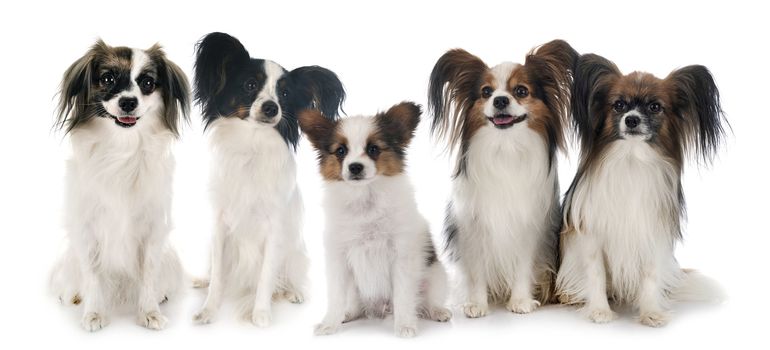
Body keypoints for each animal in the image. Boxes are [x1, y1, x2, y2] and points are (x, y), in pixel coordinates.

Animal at [49, 39, 190, 330]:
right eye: (107, 79)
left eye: (147, 83)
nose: (128, 101)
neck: (122, 148)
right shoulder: (87, 229)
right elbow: (92, 274)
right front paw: (94, 313)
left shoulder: (152, 229)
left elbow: (148, 273)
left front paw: (149, 312)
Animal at [192, 31, 344, 326]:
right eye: (250, 85)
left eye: (284, 94)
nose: (272, 108)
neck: (252, 145)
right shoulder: (220, 226)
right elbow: (218, 276)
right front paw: (208, 310)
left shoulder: (274, 229)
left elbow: (265, 277)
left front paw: (260, 314)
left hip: (296, 252)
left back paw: (292, 292)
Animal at [298, 102, 450, 338]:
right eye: (340, 151)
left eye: (373, 150)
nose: (355, 167)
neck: (365, 199)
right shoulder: (338, 259)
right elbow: (335, 296)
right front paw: (329, 324)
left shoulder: (401, 256)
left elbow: (404, 295)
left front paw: (405, 325)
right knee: (355, 305)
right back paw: (348, 314)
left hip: (436, 276)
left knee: (426, 300)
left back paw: (436, 311)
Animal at [426, 40, 576, 318]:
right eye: (486, 92)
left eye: (521, 91)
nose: (500, 100)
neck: (505, 147)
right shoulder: (473, 226)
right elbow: (476, 271)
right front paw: (477, 304)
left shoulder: (530, 227)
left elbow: (523, 265)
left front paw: (520, 301)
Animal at [552, 53, 728, 326]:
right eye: (619, 105)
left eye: (655, 107)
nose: (632, 119)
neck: (632, 158)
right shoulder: (591, 236)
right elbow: (596, 274)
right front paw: (600, 311)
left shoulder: (651, 233)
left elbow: (650, 276)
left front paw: (651, 312)